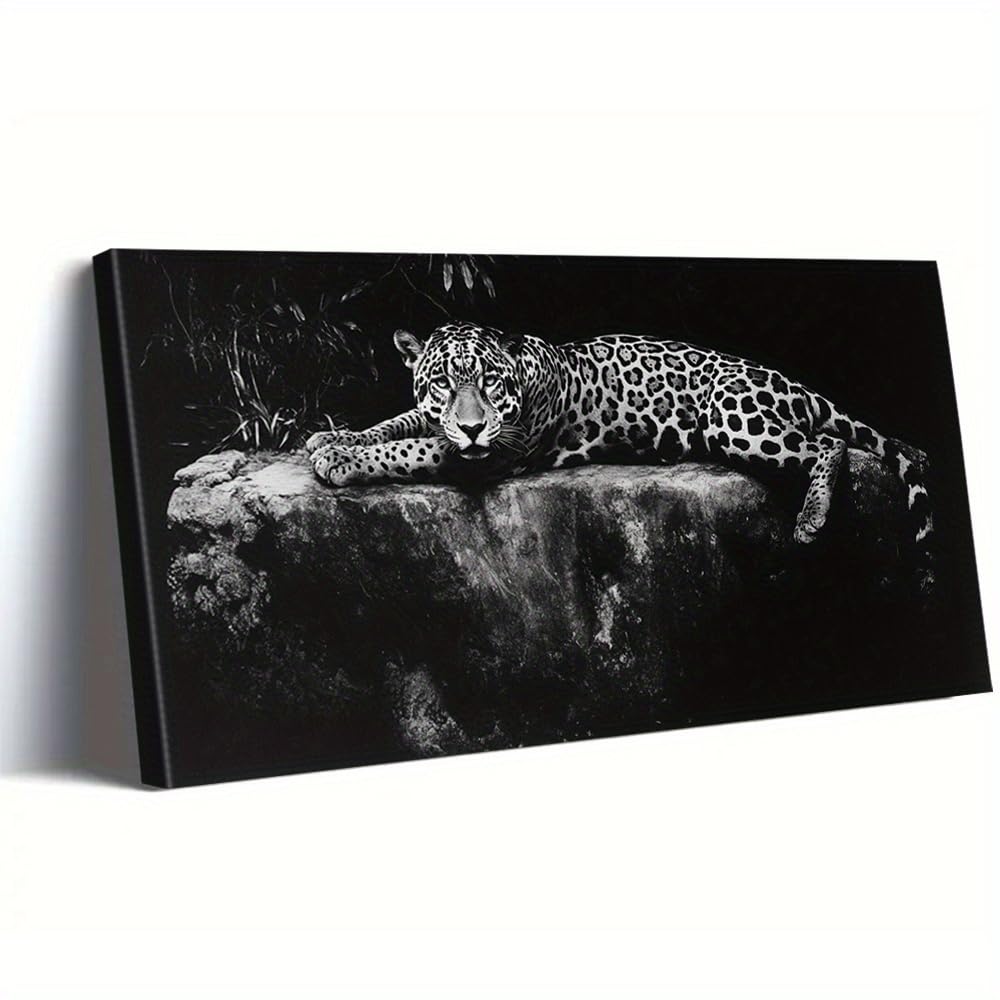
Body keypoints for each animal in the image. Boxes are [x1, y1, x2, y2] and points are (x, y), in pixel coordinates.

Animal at [306, 320, 934, 587]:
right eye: (441, 382)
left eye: (488, 382)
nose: (474, 426)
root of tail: (792, 382)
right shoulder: (445, 425)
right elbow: (401, 423)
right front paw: (331, 439)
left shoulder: (496, 450)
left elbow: (412, 447)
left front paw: (340, 461)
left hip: (733, 417)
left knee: (830, 442)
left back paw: (811, 519)